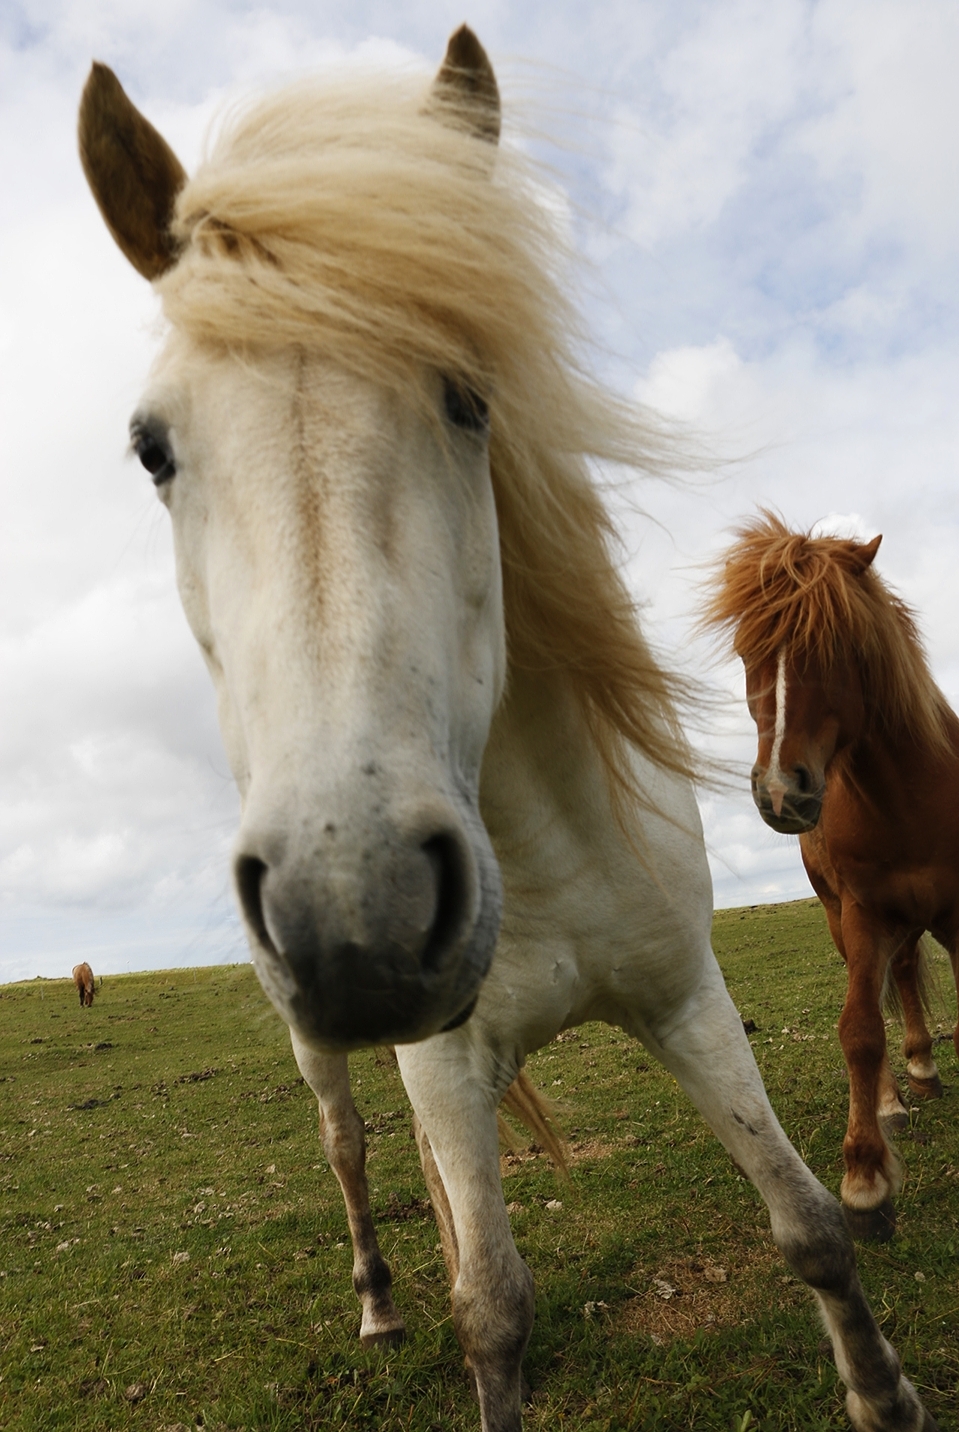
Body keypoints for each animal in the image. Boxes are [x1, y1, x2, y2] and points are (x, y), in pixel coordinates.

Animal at [707, 518, 959, 1242]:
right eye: (745, 651)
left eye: (838, 646)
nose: (779, 793)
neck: (908, 798)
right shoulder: (862, 913)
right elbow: (857, 1029)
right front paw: (866, 1179)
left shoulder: (958, 913)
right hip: (845, 917)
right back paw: (896, 1095)